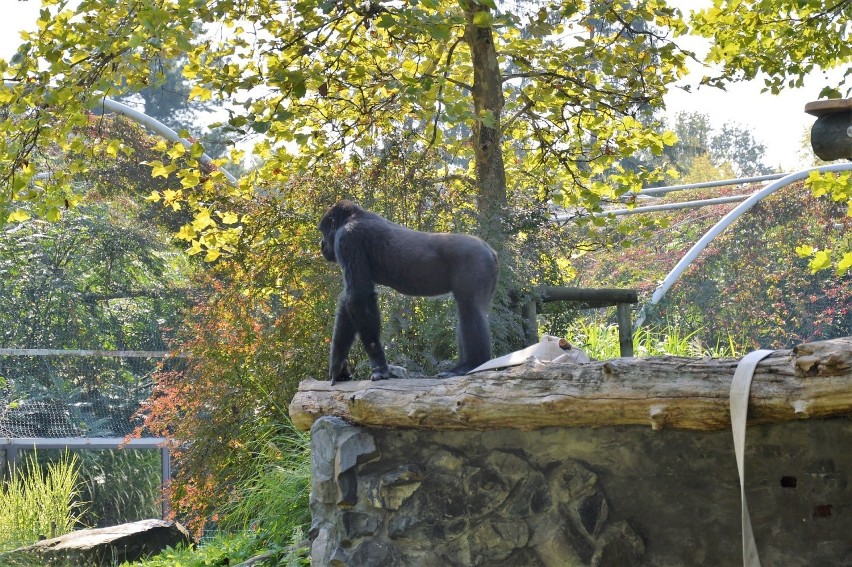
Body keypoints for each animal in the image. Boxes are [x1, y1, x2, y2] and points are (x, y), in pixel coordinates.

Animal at [320, 201, 500, 386]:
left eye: (323, 232)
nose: (321, 244)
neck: (351, 218)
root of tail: (489, 250)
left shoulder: (348, 239)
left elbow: (359, 296)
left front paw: (379, 367)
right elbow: (349, 301)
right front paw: (339, 367)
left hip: (475, 259)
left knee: (470, 308)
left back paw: (471, 364)